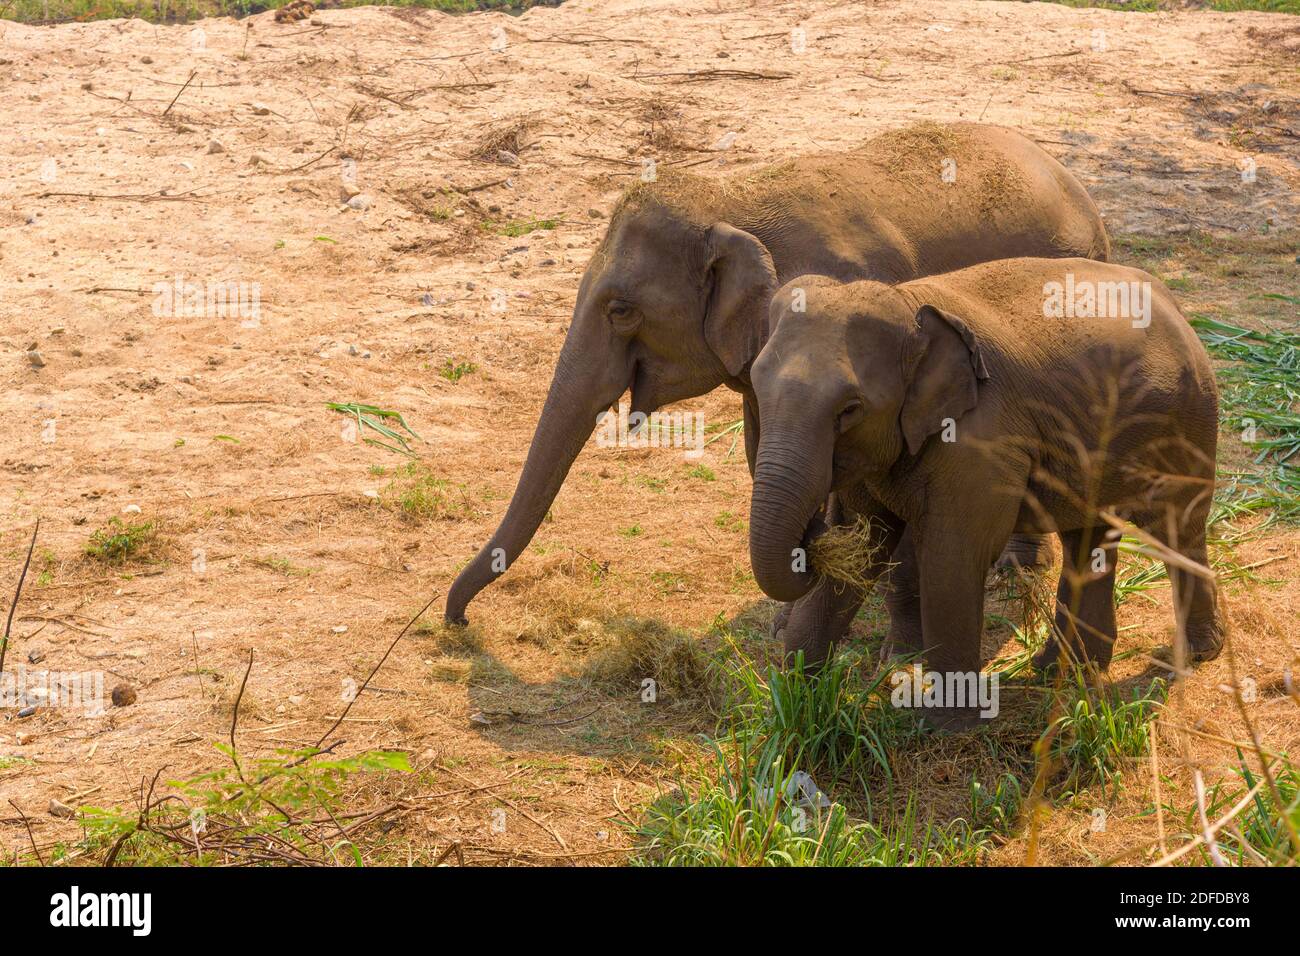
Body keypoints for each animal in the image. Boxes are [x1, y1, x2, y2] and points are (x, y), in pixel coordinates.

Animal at [444, 119, 1107, 655]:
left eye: (621, 311)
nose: (458, 624)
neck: (734, 199)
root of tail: (1079, 189)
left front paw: (894, 653)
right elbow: (765, 452)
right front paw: (787, 621)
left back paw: (1016, 574)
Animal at [748, 257, 1222, 723]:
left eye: (850, 409)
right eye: (754, 386)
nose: (813, 528)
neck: (908, 303)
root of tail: (1174, 305)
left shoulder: (981, 439)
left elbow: (953, 557)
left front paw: (944, 727)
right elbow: (864, 549)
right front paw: (797, 705)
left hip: (1189, 418)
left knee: (1178, 526)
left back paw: (1197, 653)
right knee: (1086, 538)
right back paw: (1063, 670)